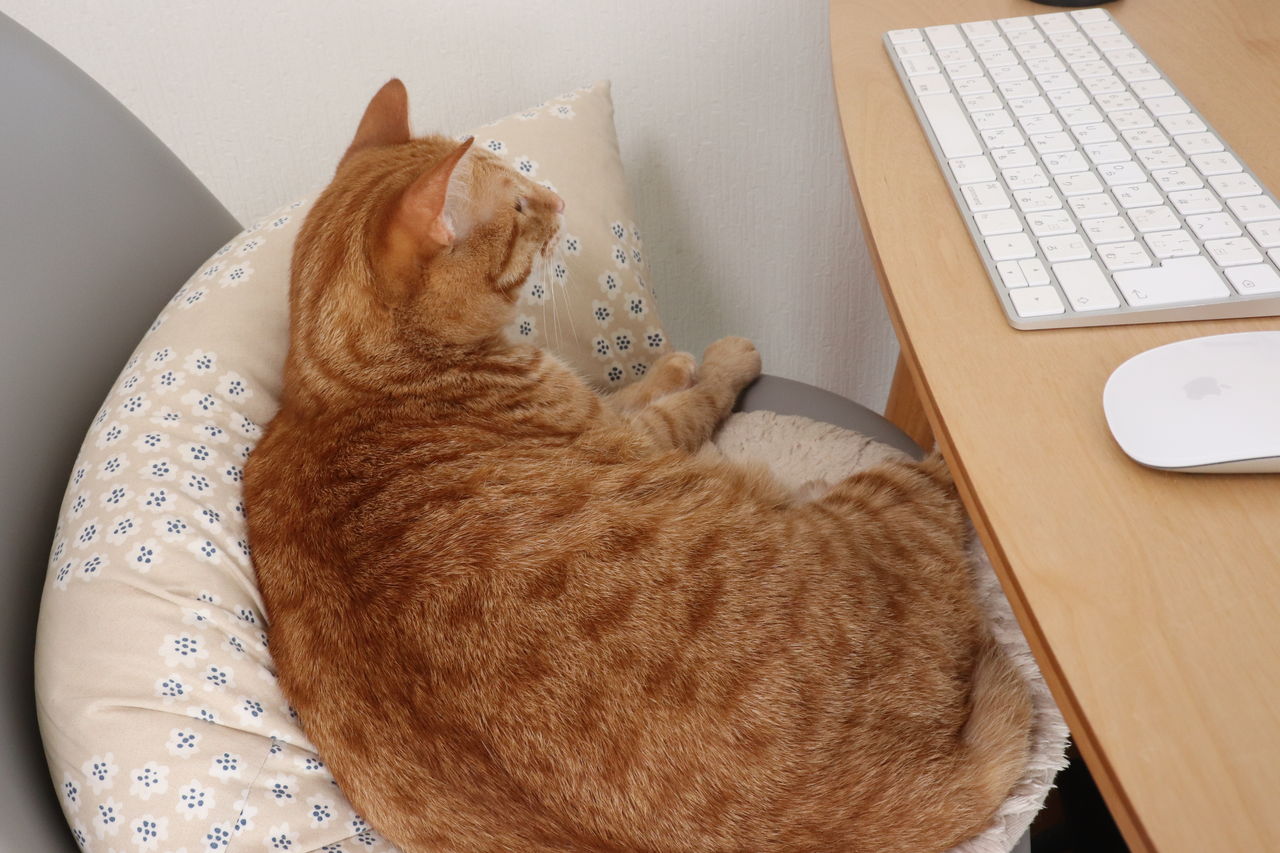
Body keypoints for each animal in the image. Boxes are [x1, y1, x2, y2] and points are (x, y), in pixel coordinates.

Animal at [243, 79, 1031, 853]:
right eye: (520, 205)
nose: (557, 200)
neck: (353, 382)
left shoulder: (607, 414)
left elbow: (636, 388)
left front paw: (667, 364)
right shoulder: (639, 434)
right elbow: (689, 396)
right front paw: (708, 359)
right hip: (890, 489)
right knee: (947, 477)